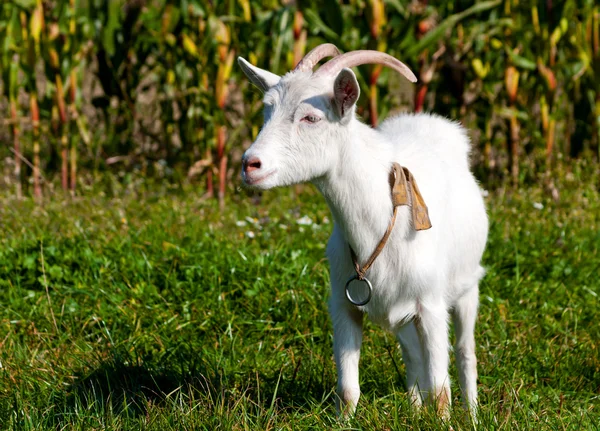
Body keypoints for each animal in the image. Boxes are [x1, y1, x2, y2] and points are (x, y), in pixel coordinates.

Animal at [236, 45, 488, 420]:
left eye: (311, 118)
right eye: (268, 110)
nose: (250, 165)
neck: (381, 222)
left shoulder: (431, 306)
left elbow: (441, 389)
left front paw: (445, 422)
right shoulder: (343, 305)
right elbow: (348, 389)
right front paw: (346, 420)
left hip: (467, 287)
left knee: (464, 352)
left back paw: (472, 413)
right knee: (412, 356)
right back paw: (414, 411)